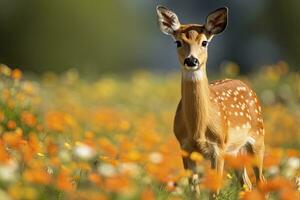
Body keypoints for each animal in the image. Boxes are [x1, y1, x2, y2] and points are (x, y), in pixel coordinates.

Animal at [156, 5, 266, 194]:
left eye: (204, 42)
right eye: (178, 42)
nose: (191, 60)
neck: (197, 130)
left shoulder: (218, 148)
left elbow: (214, 191)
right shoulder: (185, 148)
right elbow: (194, 191)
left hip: (258, 137)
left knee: (261, 181)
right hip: (236, 151)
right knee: (246, 183)